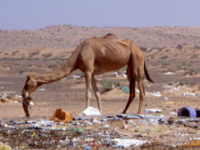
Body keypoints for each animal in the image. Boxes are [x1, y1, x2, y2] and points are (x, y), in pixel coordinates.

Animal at [21, 34, 153, 117]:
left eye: (27, 84)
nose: (23, 94)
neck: (78, 54)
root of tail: (141, 51)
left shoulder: (88, 70)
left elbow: (87, 93)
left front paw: (85, 111)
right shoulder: (92, 72)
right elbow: (97, 93)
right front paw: (99, 112)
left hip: (137, 61)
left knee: (141, 88)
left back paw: (139, 112)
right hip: (130, 64)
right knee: (132, 89)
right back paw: (123, 111)